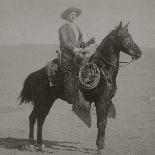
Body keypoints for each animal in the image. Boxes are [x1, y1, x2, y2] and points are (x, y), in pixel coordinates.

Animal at [18, 21, 142, 154]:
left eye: (130, 35)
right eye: (123, 36)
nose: (139, 52)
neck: (104, 69)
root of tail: (36, 74)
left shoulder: (108, 101)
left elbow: (105, 122)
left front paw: (102, 144)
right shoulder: (101, 101)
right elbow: (101, 122)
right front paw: (100, 146)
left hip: (47, 102)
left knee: (40, 119)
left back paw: (40, 145)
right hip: (41, 102)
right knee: (33, 118)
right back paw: (31, 144)